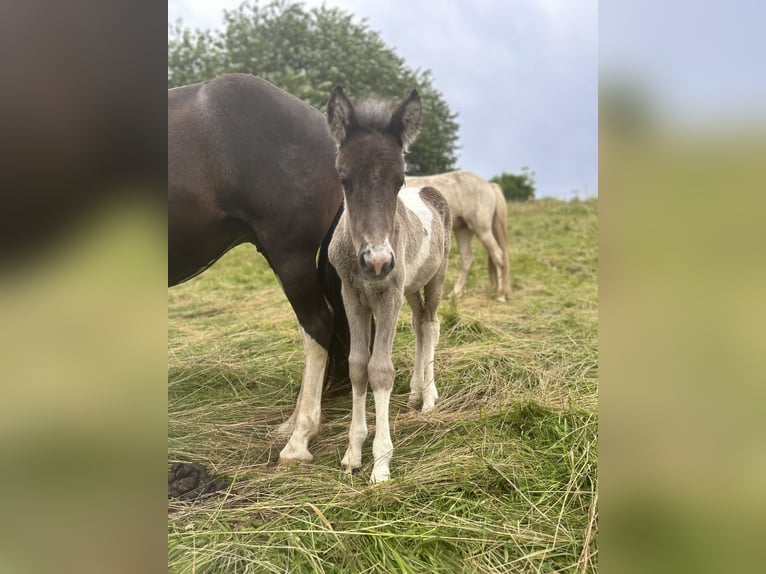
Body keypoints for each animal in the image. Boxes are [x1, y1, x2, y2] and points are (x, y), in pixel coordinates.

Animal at [328, 84, 452, 482]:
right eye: (344, 179)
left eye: (399, 180)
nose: (378, 261)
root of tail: (430, 191)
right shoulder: (351, 295)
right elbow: (357, 365)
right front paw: (353, 452)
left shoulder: (387, 296)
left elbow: (380, 370)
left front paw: (381, 463)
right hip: (410, 288)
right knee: (418, 324)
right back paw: (415, 392)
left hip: (434, 277)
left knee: (431, 324)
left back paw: (428, 396)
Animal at [404, 171, 512, 304]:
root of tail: (489, 185)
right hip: (463, 231)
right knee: (468, 259)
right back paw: (455, 293)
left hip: (482, 230)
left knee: (498, 256)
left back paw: (500, 294)